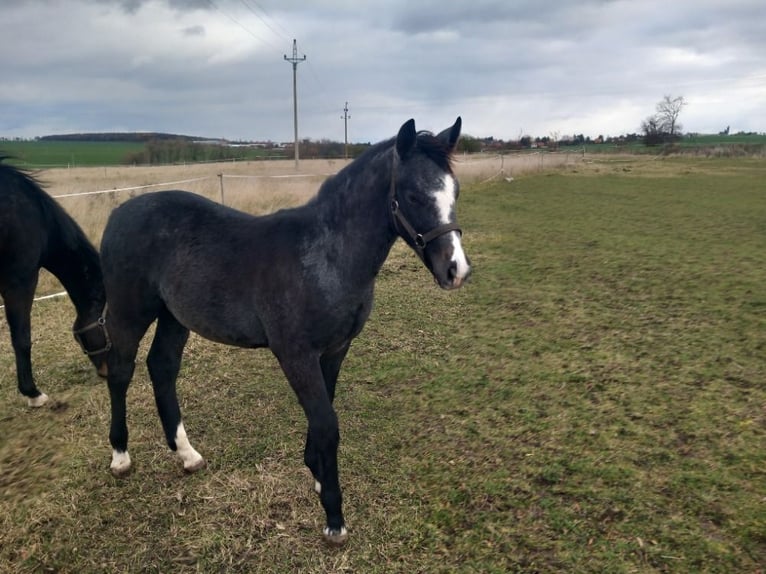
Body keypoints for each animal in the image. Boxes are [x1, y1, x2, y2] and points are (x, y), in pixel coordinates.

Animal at [100, 117, 474, 544]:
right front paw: (334, 518)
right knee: (121, 371)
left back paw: (187, 454)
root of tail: (119, 212)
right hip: (129, 313)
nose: (456, 271)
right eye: (413, 195)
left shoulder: (335, 349)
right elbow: (327, 424)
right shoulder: (295, 354)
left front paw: (317, 475)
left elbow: (324, 412)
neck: (325, 258)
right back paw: (120, 457)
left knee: (162, 367)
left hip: (174, 317)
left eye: (455, 191)